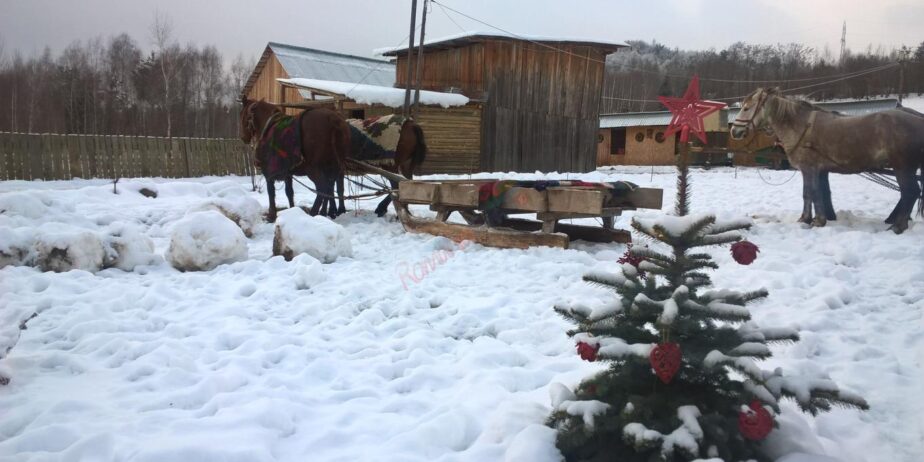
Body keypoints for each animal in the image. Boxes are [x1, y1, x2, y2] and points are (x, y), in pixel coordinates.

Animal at [728, 89, 924, 235]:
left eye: (746, 108)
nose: (734, 132)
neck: (801, 127)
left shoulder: (810, 168)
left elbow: (813, 193)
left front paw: (817, 221)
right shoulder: (814, 170)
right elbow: (811, 194)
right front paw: (805, 219)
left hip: (902, 168)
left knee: (911, 192)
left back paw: (898, 226)